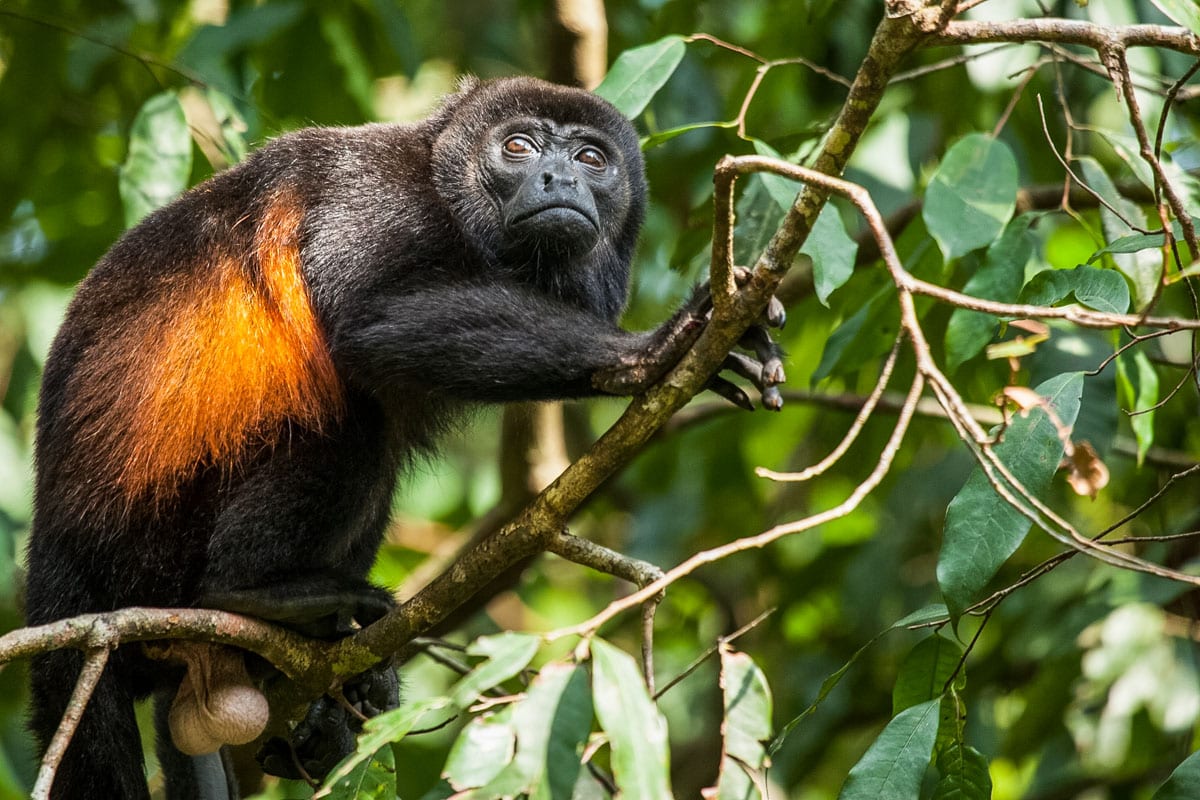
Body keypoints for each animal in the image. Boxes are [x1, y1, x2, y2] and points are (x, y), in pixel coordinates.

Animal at [25, 76, 787, 800]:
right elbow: (373, 320)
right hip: (152, 545)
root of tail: (57, 555)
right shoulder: (375, 194)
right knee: (352, 424)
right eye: (518, 147)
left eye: (591, 159)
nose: (558, 179)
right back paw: (253, 592)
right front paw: (653, 350)